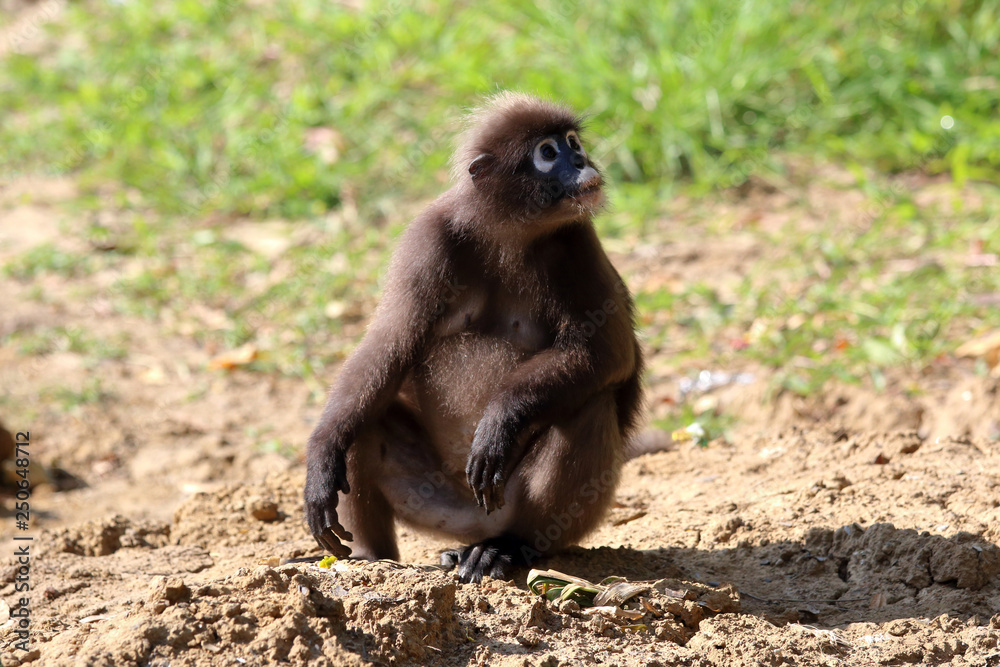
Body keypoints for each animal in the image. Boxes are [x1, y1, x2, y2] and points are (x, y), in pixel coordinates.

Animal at [304, 92, 644, 584]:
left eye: (573, 142)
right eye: (548, 152)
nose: (581, 161)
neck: (509, 232)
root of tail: (475, 527)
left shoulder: (577, 238)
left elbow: (607, 352)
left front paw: (500, 420)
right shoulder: (427, 239)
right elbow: (390, 344)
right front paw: (321, 454)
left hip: (535, 508)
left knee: (588, 407)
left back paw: (506, 548)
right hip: (438, 505)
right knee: (362, 426)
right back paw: (370, 557)